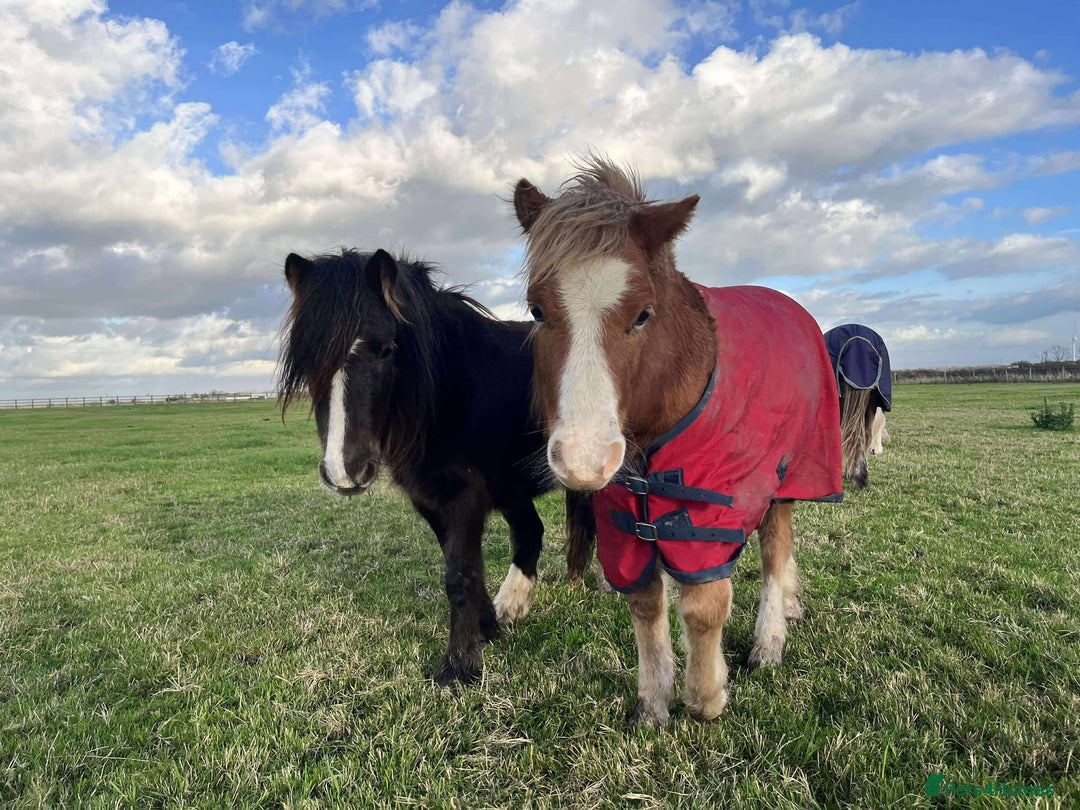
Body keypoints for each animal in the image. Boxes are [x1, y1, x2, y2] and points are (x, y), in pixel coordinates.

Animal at [277, 248, 595, 686]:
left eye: (387, 349)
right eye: (308, 359)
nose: (344, 471)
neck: (451, 387)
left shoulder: (465, 498)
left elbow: (459, 576)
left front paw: (458, 667)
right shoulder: (431, 497)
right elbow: (467, 566)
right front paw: (486, 629)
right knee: (532, 533)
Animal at [513, 156, 842, 726]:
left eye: (643, 314)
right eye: (537, 310)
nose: (583, 462)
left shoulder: (710, 510)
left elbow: (705, 604)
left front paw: (706, 698)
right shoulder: (625, 516)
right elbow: (647, 603)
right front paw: (653, 702)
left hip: (785, 476)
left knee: (775, 549)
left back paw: (769, 639)